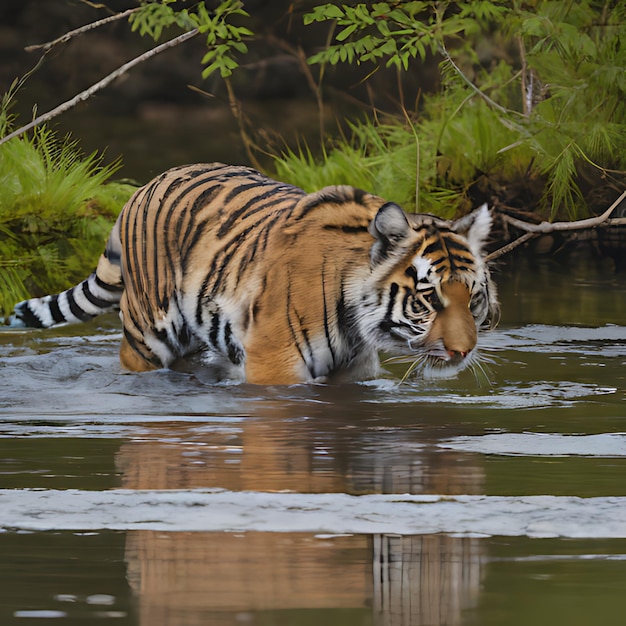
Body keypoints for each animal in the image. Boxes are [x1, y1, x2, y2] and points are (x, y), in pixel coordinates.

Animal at [11, 163, 498, 382]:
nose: (462, 352)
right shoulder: (274, 369)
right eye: (429, 298)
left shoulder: (355, 371)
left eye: (473, 299)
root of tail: (143, 187)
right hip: (148, 338)